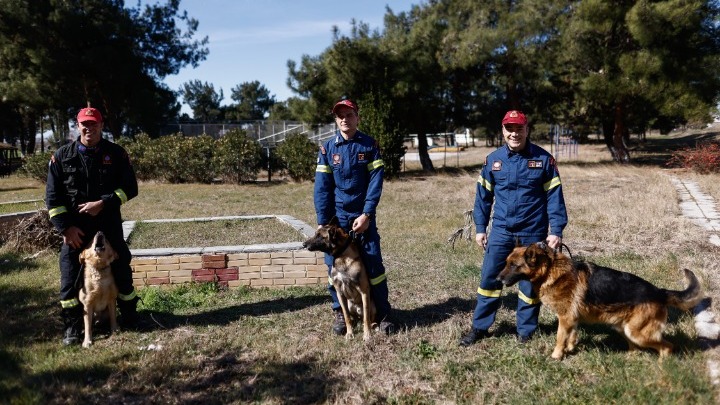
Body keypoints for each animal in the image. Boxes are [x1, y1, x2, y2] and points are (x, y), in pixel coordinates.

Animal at [496, 241, 704, 358]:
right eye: (506, 263)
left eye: (513, 265)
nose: (498, 279)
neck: (550, 271)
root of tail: (659, 292)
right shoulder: (572, 319)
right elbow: (571, 336)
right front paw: (570, 348)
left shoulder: (565, 319)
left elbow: (560, 338)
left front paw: (556, 356)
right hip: (624, 329)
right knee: (637, 349)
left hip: (637, 333)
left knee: (667, 347)